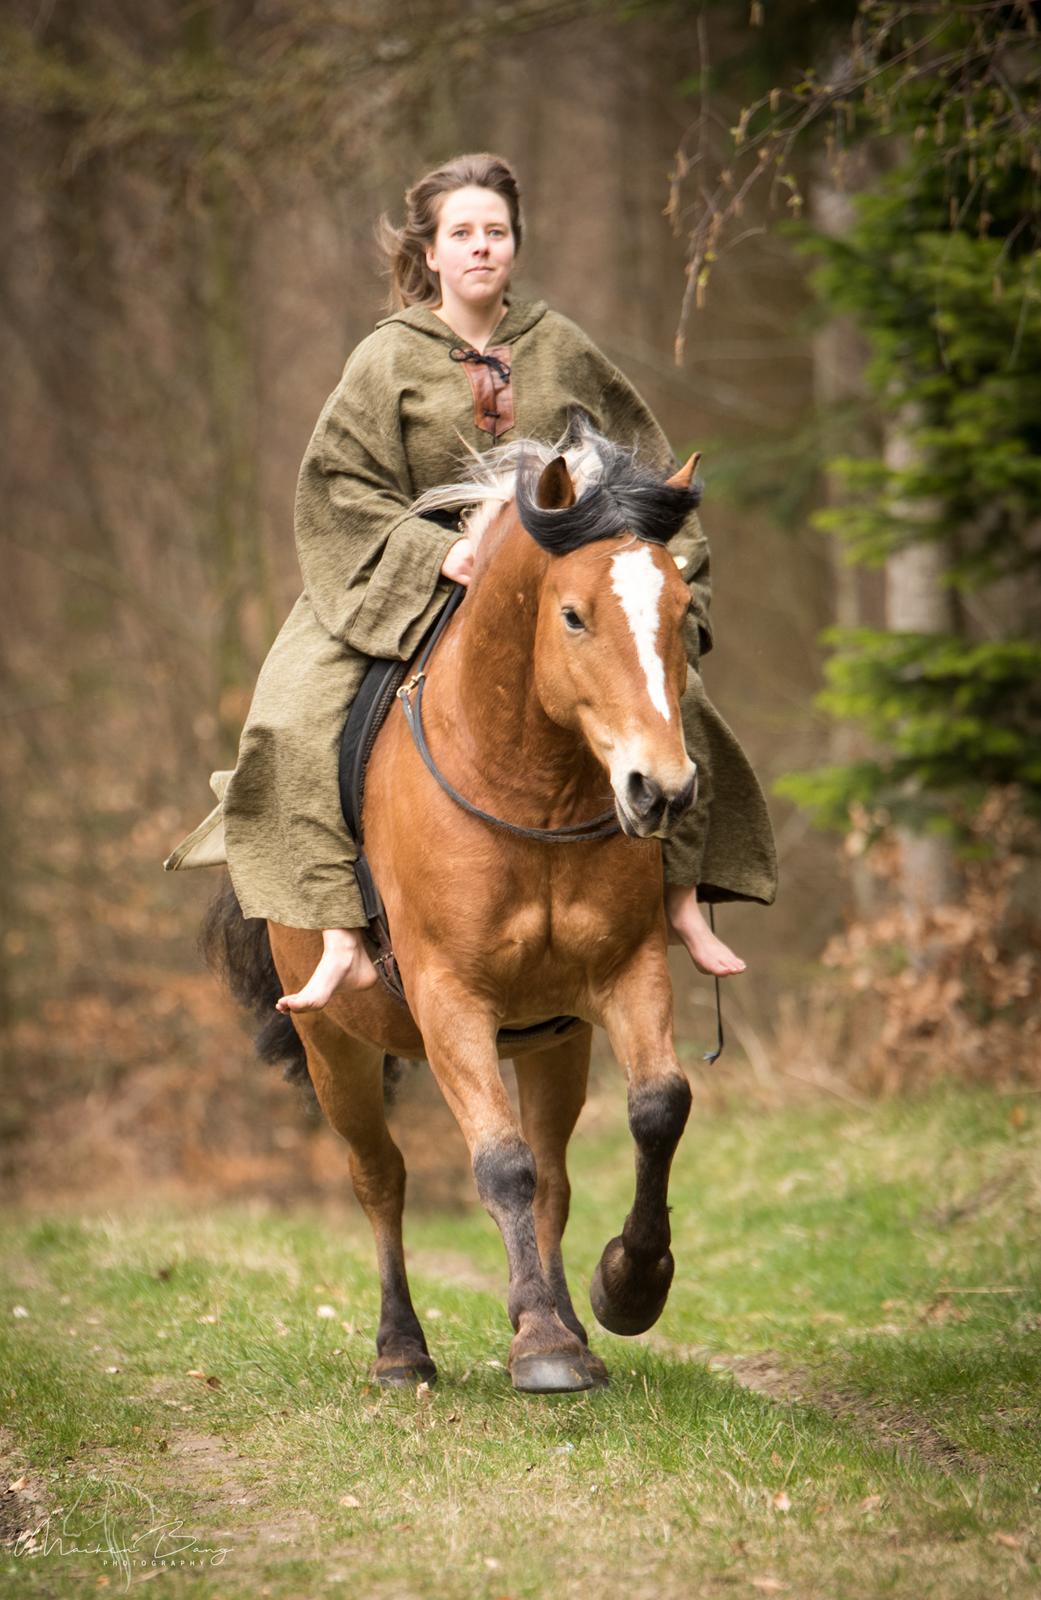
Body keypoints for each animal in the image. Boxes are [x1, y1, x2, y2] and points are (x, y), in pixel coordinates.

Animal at [209, 422, 703, 1388]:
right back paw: (403, 1348)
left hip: (554, 1040)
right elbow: (498, 1162)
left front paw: (626, 1287)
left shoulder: (625, 974)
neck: (530, 791)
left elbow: (658, 1108)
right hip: (334, 1046)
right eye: (573, 615)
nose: (659, 790)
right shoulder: (449, 1000)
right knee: (380, 1177)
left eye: (679, 614)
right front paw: (541, 1343)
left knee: (554, 1172)